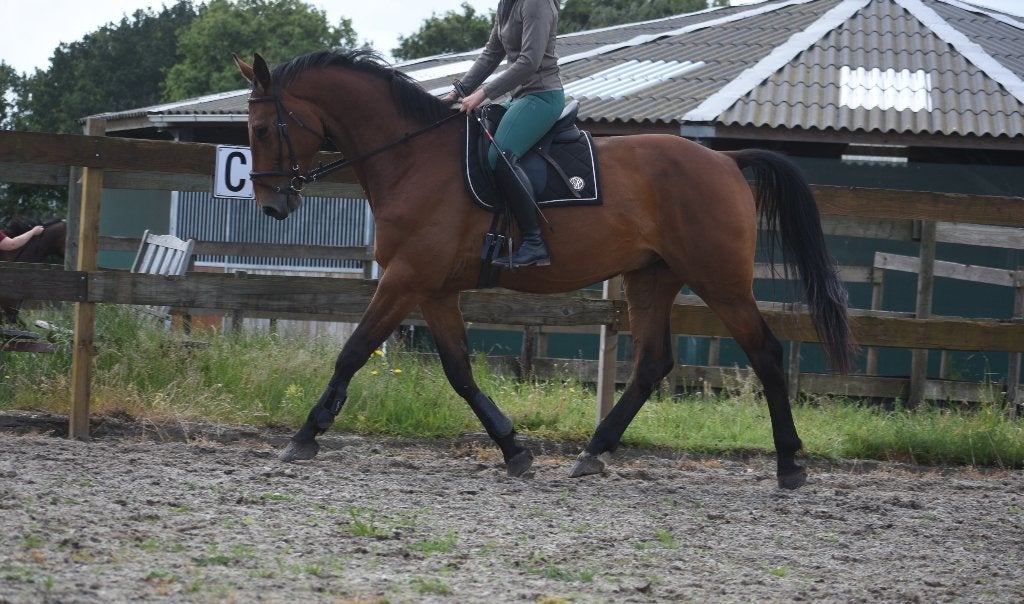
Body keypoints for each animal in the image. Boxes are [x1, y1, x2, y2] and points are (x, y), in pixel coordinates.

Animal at [234, 50, 853, 489]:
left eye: (262, 129)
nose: (271, 206)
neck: (410, 158)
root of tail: (725, 160)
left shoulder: (405, 278)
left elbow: (354, 350)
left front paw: (304, 436)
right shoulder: (432, 289)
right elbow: (459, 372)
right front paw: (514, 449)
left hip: (719, 281)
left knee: (764, 352)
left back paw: (789, 464)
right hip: (651, 277)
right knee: (653, 363)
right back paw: (593, 453)